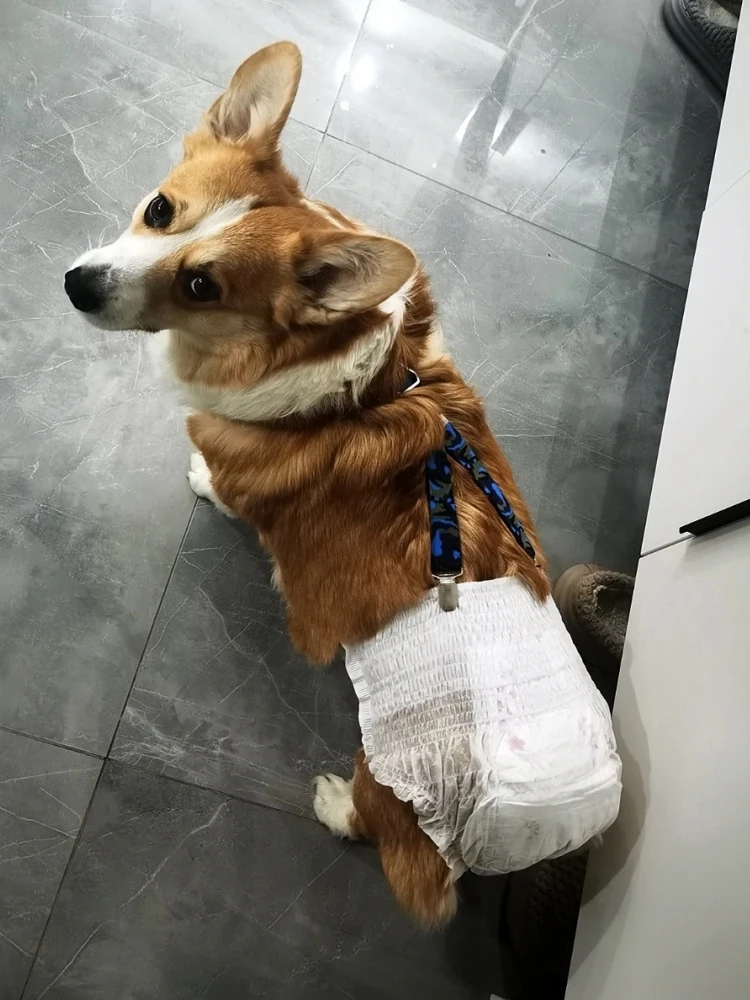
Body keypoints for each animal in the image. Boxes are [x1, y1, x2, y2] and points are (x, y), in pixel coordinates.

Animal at [65, 42, 621, 928]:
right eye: (159, 209)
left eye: (201, 287)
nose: (77, 285)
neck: (358, 376)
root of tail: (557, 820)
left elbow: (221, 485)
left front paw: (201, 481)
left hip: (393, 775)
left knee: (380, 830)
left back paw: (332, 804)